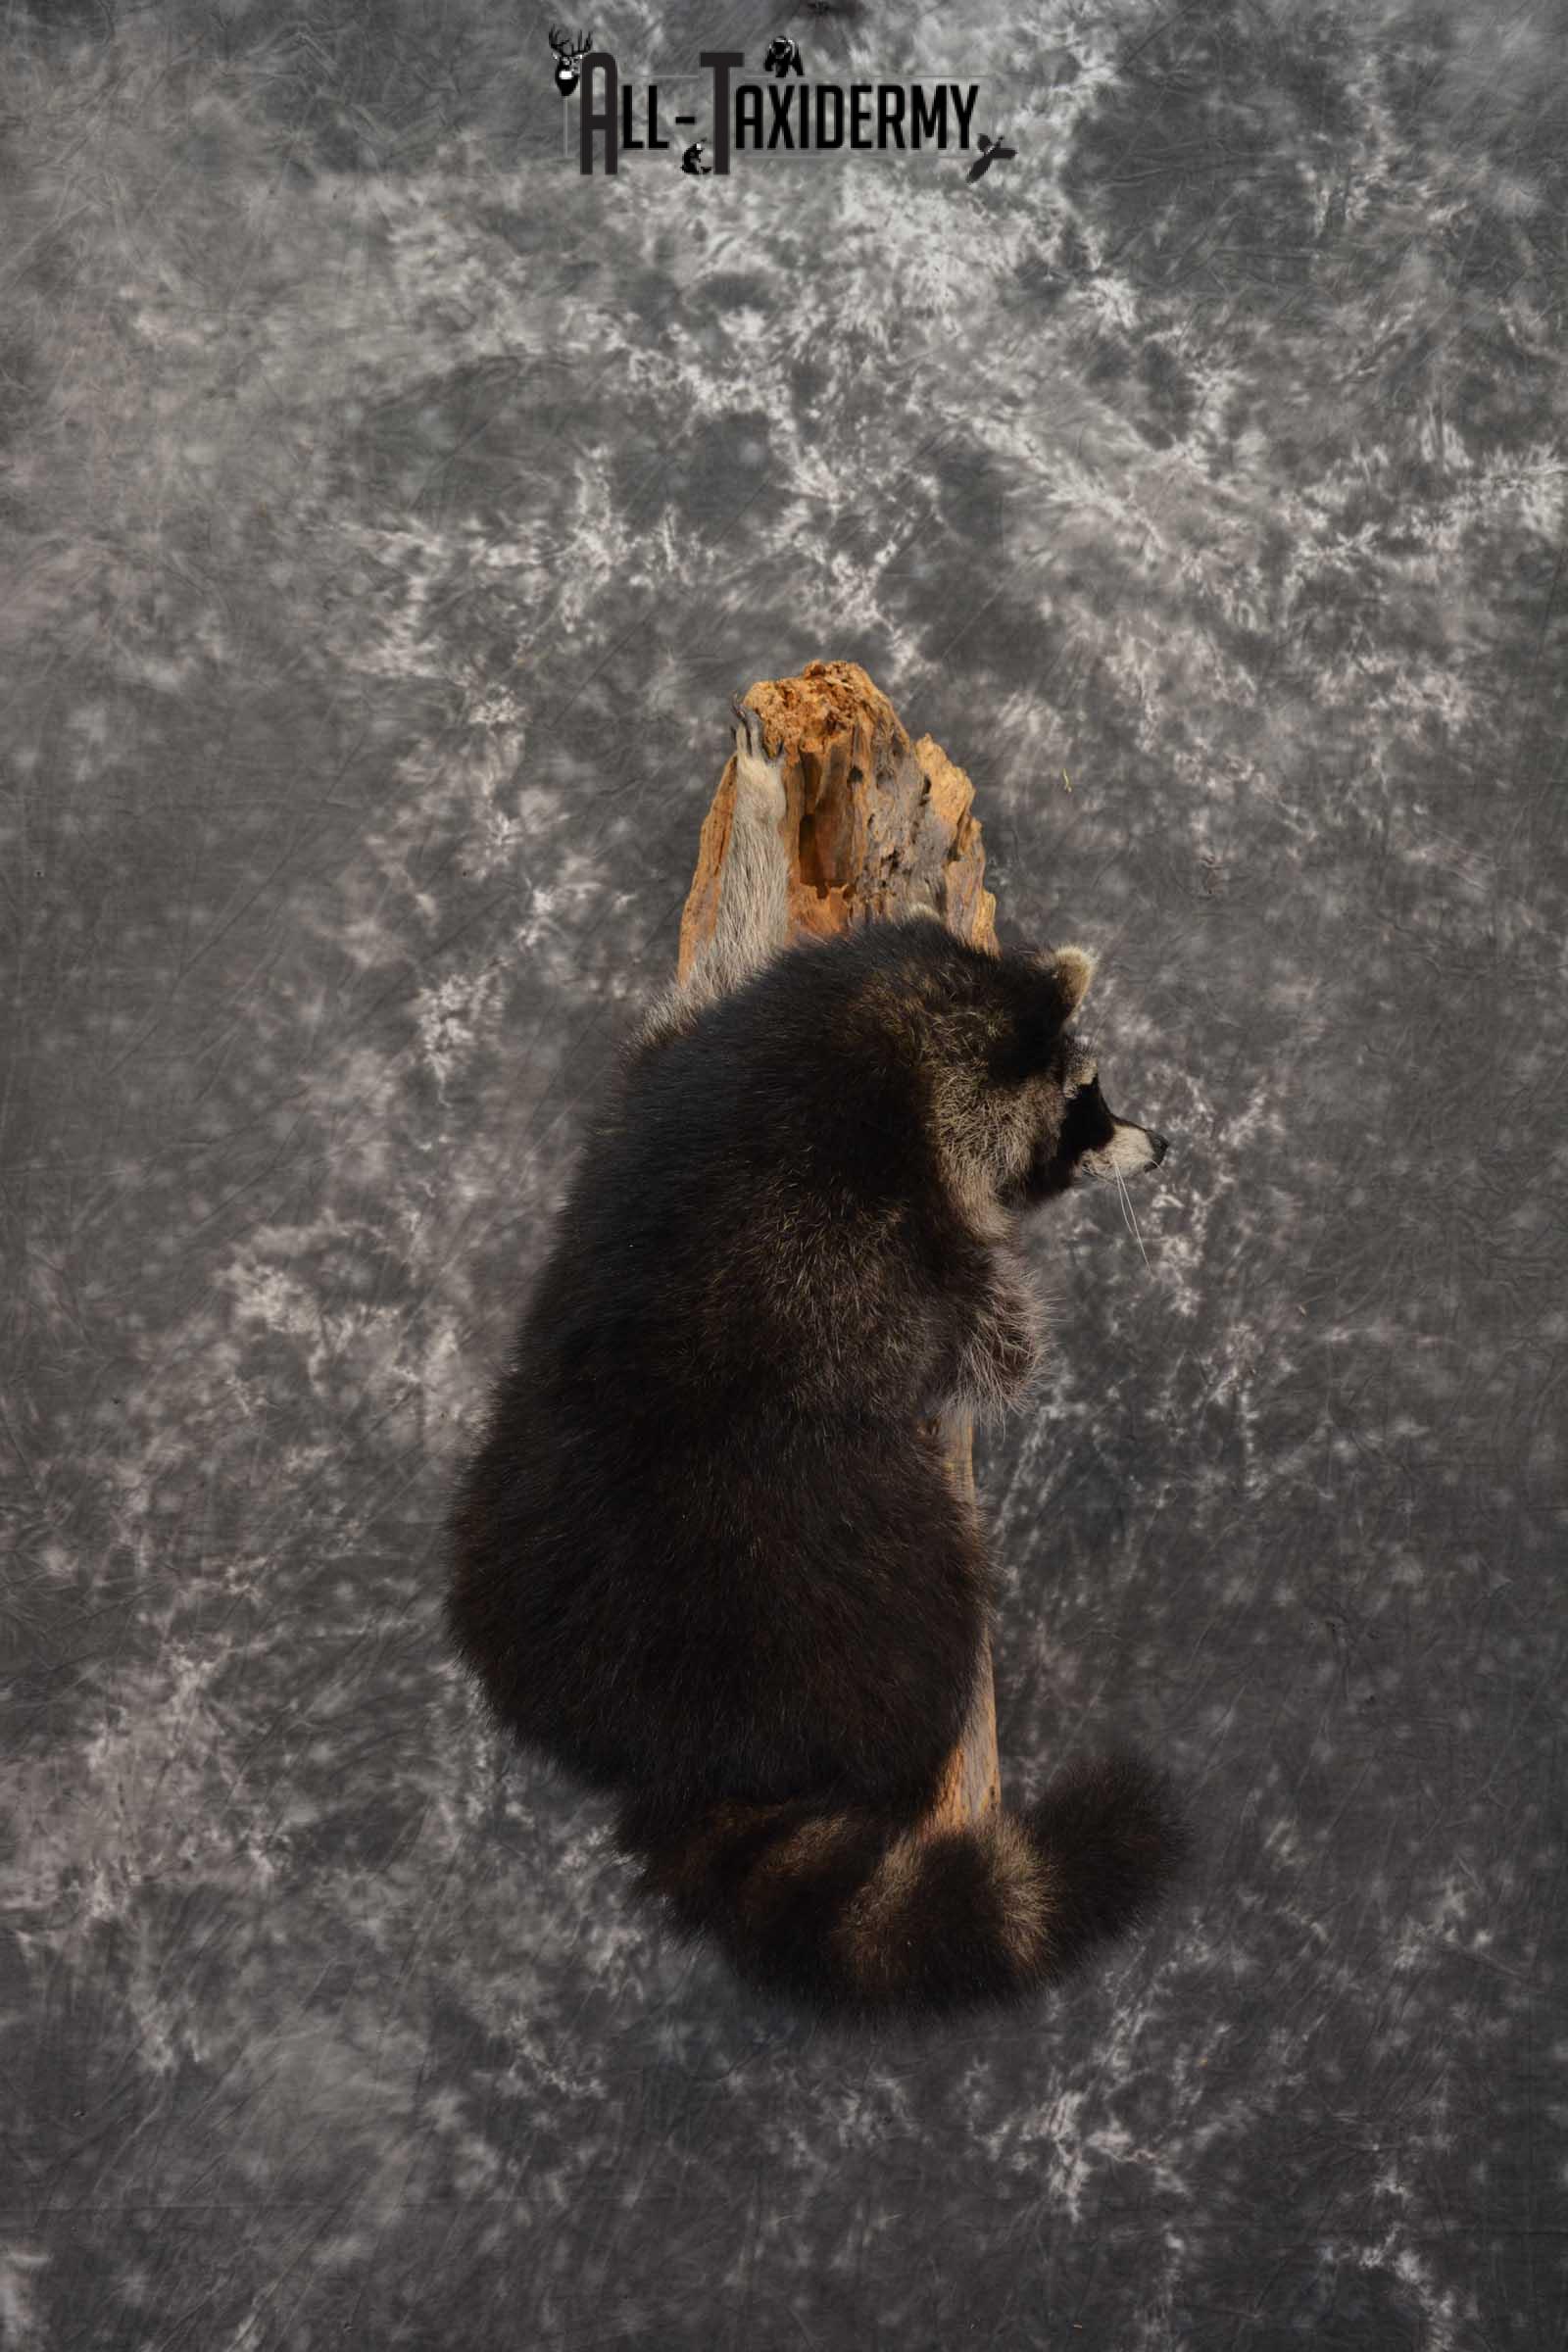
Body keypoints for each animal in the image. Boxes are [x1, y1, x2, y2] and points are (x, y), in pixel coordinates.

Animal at [446, 706, 1184, 2022]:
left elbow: (700, 977)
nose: (1160, 1146)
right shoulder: (878, 1251)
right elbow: (989, 1345)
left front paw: (752, 823)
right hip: (859, 1572)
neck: (876, 1040)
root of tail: (687, 1747)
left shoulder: (676, 1068)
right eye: (1087, 1110)